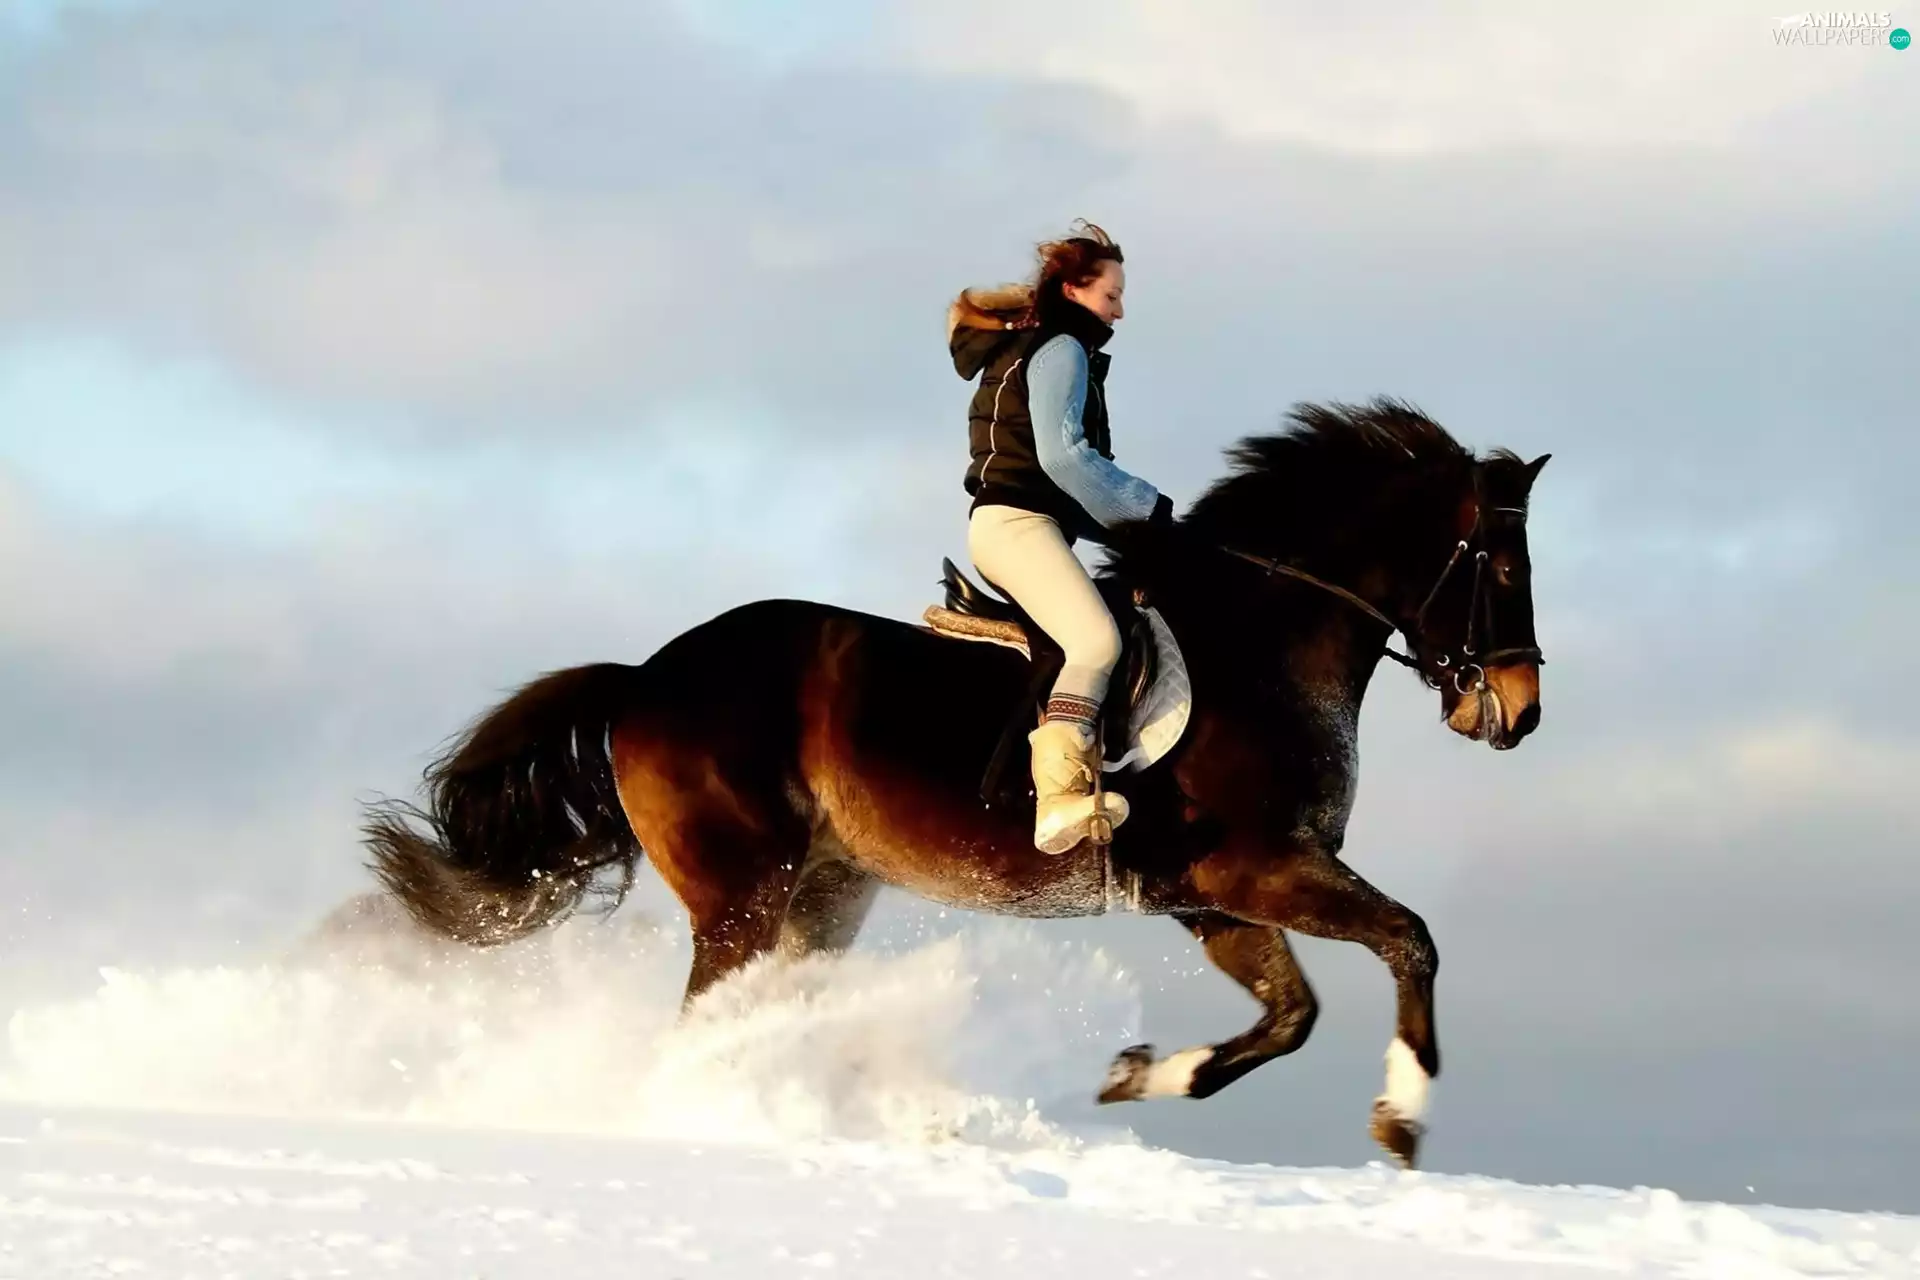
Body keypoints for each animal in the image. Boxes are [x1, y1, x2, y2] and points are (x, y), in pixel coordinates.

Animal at [362, 397, 1550, 1168]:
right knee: (707, 1021)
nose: (1520, 709)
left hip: (825, 894)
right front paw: (1402, 1118)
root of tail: (645, 677)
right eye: (1501, 567)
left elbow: (1289, 1015)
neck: (1261, 646)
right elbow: (1409, 941)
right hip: (742, 894)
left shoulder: (1208, 898)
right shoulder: (1260, 869)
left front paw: (1132, 1075)